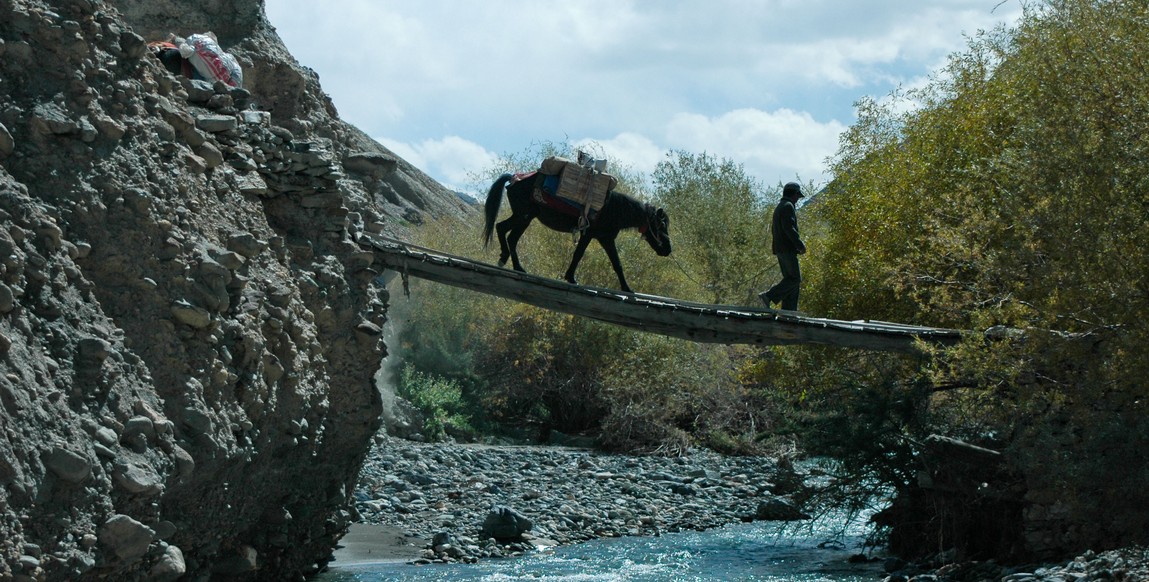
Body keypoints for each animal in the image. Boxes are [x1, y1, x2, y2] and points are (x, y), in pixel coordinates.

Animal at [480, 172, 671, 291]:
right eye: (661, 225)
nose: (668, 249)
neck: (613, 209)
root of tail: (513, 179)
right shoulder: (590, 235)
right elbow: (579, 254)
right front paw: (571, 277)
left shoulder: (605, 239)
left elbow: (617, 263)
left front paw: (627, 288)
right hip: (524, 216)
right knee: (509, 235)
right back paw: (515, 265)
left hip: (522, 216)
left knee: (503, 230)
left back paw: (507, 260)